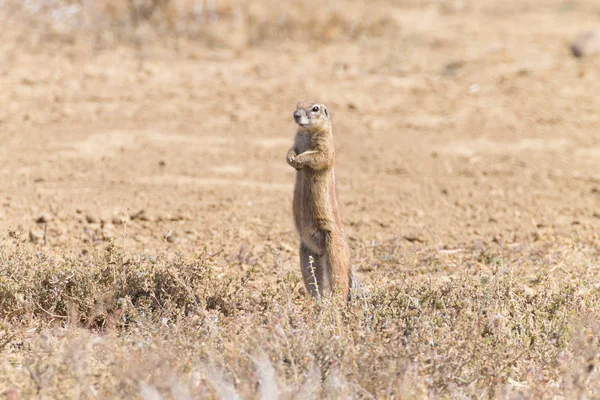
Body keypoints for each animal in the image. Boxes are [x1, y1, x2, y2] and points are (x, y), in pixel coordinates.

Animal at [284, 101, 354, 298]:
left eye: (315, 108)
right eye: (297, 104)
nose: (295, 115)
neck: (308, 132)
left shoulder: (326, 147)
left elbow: (318, 156)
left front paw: (300, 159)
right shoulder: (296, 141)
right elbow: (291, 149)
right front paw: (290, 158)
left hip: (334, 253)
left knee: (340, 283)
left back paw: (333, 301)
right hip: (306, 254)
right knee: (314, 280)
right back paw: (317, 299)